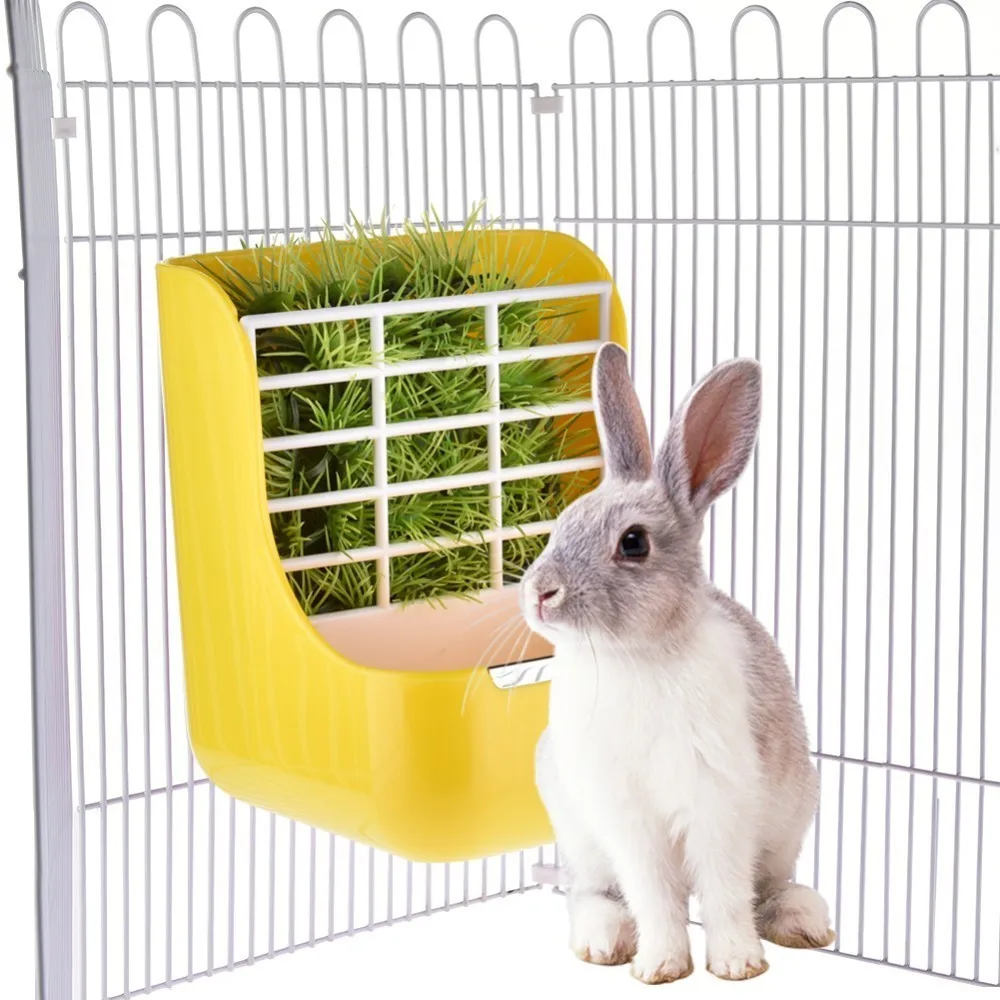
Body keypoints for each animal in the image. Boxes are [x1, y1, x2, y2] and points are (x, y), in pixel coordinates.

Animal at [520, 342, 834, 984]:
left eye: (633, 542)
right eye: (562, 523)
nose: (539, 593)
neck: (636, 655)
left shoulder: (719, 802)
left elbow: (724, 891)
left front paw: (738, 965)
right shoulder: (627, 818)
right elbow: (654, 894)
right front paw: (660, 966)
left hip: (791, 819)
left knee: (768, 886)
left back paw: (804, 922)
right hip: (580, 836)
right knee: (590, 893)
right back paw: (603, 943)